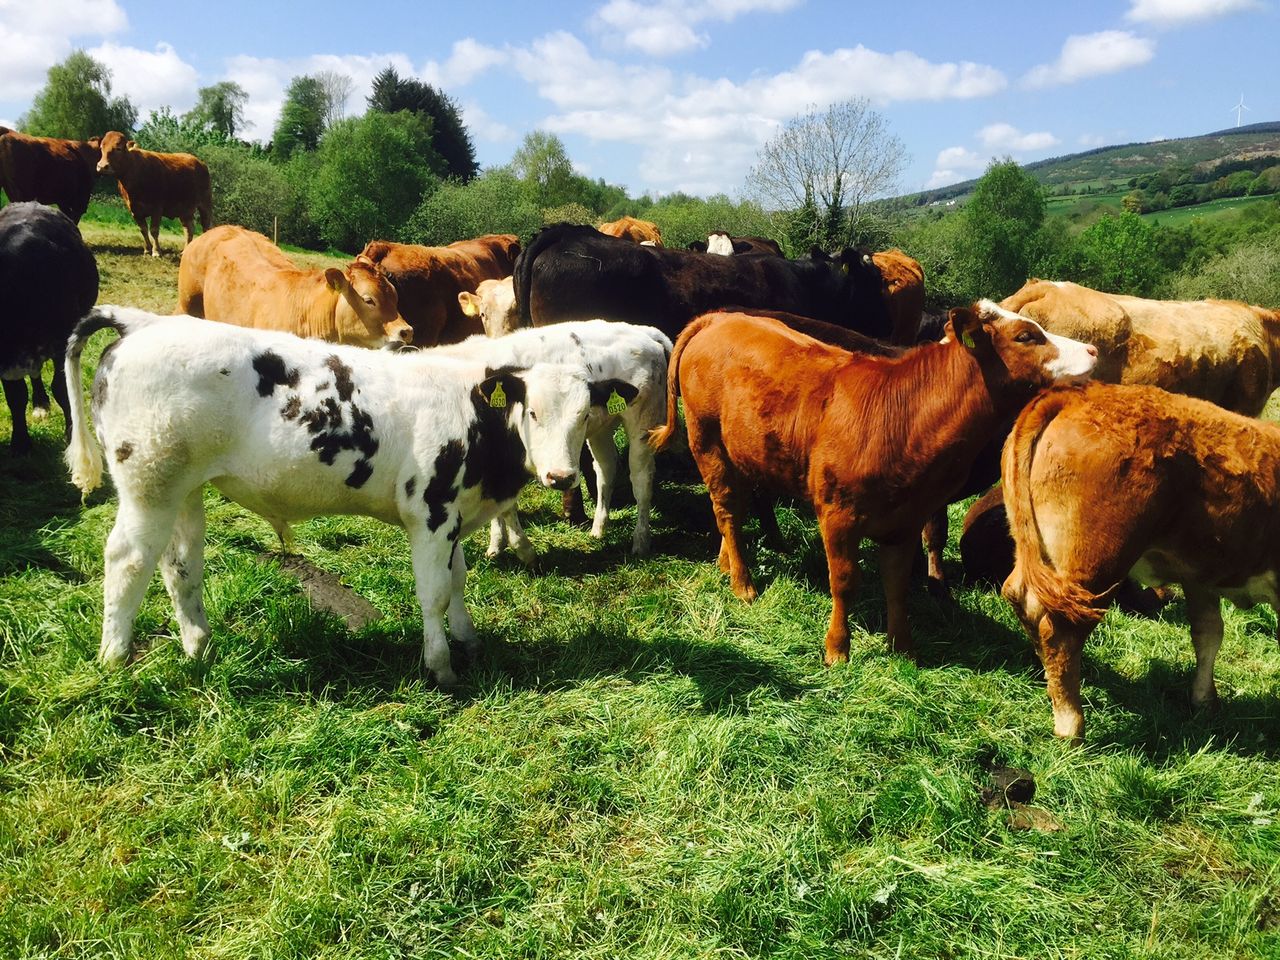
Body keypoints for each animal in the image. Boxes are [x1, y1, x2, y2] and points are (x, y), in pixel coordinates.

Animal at [0, 202, 98, 452]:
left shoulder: (64, 340)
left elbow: (62, 388)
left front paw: (71, 434)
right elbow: (16, 395)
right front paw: (20, 442)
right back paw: (40, 403)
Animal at [63, 306, 606, 686]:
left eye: (583, 416)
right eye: (532, 411)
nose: (562, 476)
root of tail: (143, 322)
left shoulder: (452, 516)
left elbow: (456, 581)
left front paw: (468, 640)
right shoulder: (430, 514)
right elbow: (433, 593)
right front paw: (441, 667)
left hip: (184, 490)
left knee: (180, 565)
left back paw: (200, 648)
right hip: (148, 486)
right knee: (128, 560)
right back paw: (114, 658)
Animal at [430, 319, 671, 557]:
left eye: (584, 414)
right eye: (532, 413)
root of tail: (643, 331)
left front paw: (522, 548)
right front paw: (496, 544)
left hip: (642, 422)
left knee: (641, 479)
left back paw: (640, 541)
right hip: (602, 428)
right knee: (606, 469)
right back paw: (598, 529)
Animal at [648, 304, 1097, 664]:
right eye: (1026, 336)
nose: (1093, 351)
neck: (904, 414)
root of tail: (719, 318)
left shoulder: (906, 520)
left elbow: (897, 585)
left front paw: (903, 648)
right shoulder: (836, 515)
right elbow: (845, 582)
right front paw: (837, 649)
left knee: (735, 511)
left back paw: (727, 562)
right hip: (707, 444)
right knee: (725, 508)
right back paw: (743, 584)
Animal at [1002, 382, 1280, 741]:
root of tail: (1079, 392)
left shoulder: (1199, 575)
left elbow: (1208, 632)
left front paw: (1204, 701)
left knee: (1024, 601)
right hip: (1096, 566)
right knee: (1061, 631)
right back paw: (1070, 724)